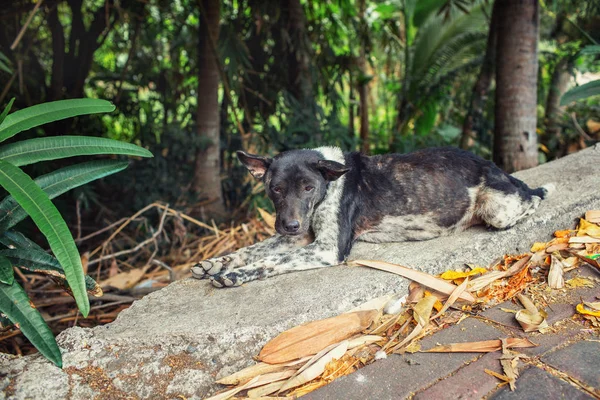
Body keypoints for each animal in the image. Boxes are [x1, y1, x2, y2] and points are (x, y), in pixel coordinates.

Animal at [192, 147, 552, 288]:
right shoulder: (301, 236)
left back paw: (538, 195)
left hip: (498, 210)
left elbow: (271, 260)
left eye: (308, 187)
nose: (289, 225)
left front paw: (234, 274)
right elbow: (253, 249)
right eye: (275, 189)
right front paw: (214, 263)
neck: (330, 182)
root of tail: (499, 169)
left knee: (532, 199)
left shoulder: (326, 249)